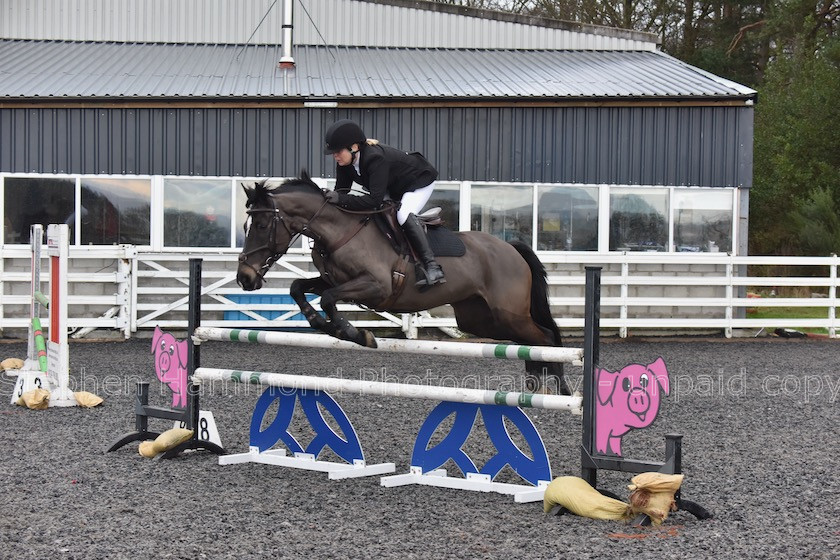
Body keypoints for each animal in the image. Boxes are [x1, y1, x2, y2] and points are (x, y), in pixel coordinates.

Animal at [240, 173, 576, 396]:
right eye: (246, 225)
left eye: (261, 225)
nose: (245, 277)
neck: (340, 230)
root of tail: (511, 248)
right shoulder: (331, 280)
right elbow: (299, 287)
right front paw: (319, 323)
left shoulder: (377, 288)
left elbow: (329, 300)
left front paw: (354, 334)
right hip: (481, 319)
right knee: (531, 342)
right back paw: (533, 387)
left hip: (508, 314)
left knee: (547, 337)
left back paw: (559, 389)